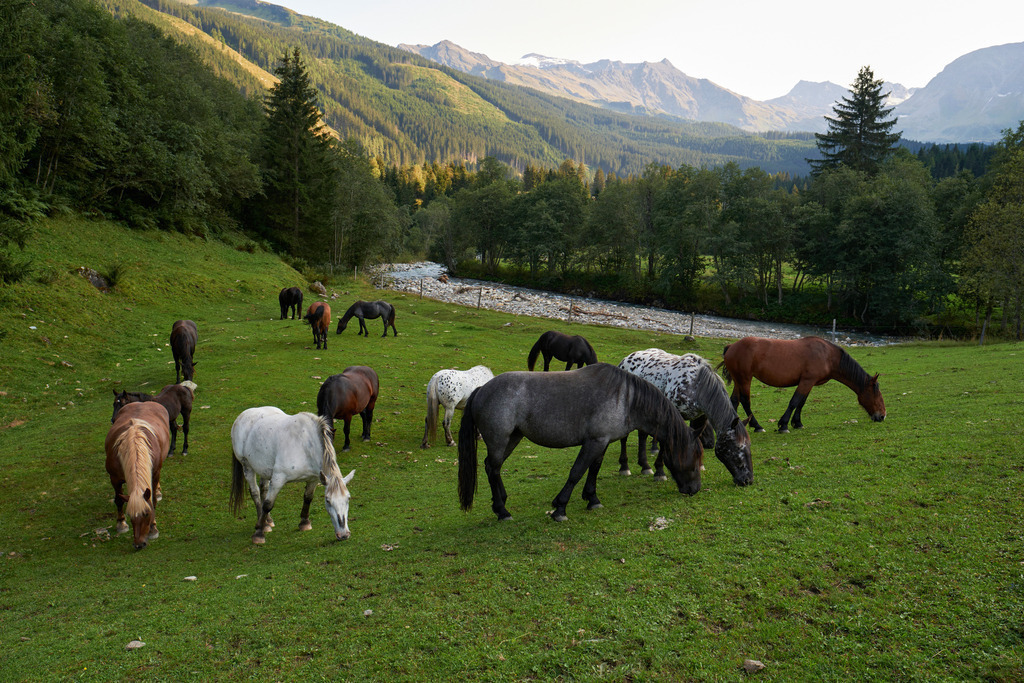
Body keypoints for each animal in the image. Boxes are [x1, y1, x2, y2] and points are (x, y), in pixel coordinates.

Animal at [104, 401, 171, 549]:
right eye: (130, 515)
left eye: (146, 513)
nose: (139, 544)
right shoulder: (114, 479)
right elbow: (119, 500)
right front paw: (121, 523)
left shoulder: (154, 474)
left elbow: (152, 501)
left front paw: (153, 529)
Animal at [230, 407, 355, 545]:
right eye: (328, 500)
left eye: (348, 498)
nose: (343, 534)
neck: (305, 445)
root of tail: (242, 415)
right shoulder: (278, 478)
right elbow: (268, 504)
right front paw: (258, 534)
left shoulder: (313, 479)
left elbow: (308, 497)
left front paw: (304, 523)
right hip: (247, 466)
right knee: (255, 493)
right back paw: (263, 524)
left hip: (264, 469)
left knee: (263, 489)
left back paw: (268, 521)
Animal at [457, 363, 704, 523]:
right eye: (694, 458)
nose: (695, 490)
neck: (625, 398)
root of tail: (481, 389)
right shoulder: (593, 442)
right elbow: (577, 472)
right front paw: (560, 508)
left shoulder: (602, 442)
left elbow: (593, 469)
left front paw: (592, 499)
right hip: (499, 441)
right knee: (493, 468)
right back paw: (502, 511)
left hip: (513, 439)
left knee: (493, 467)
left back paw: (500, 503)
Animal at [617, 349, 753, 486]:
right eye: (737, 447)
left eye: (749, 445)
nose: (747, 480)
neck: (695, 384)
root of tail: (626, 359)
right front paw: (660, 472)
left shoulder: (699, 418)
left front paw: (699, 465)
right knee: (624, 438)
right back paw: (624, 467)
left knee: (642, 435)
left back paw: (645, 466)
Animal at [718, 336, 886, 433]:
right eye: (877, 394)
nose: (882, 416)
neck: (827, 355)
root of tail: (731, 346)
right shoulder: (806, 381)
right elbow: (794, 401)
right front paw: (783, 425)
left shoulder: (809, 383)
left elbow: (801, 403)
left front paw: (797, 423)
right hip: (745, 379)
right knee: (745, 401)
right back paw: (757, 426)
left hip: (739, 380)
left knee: (734, 401)